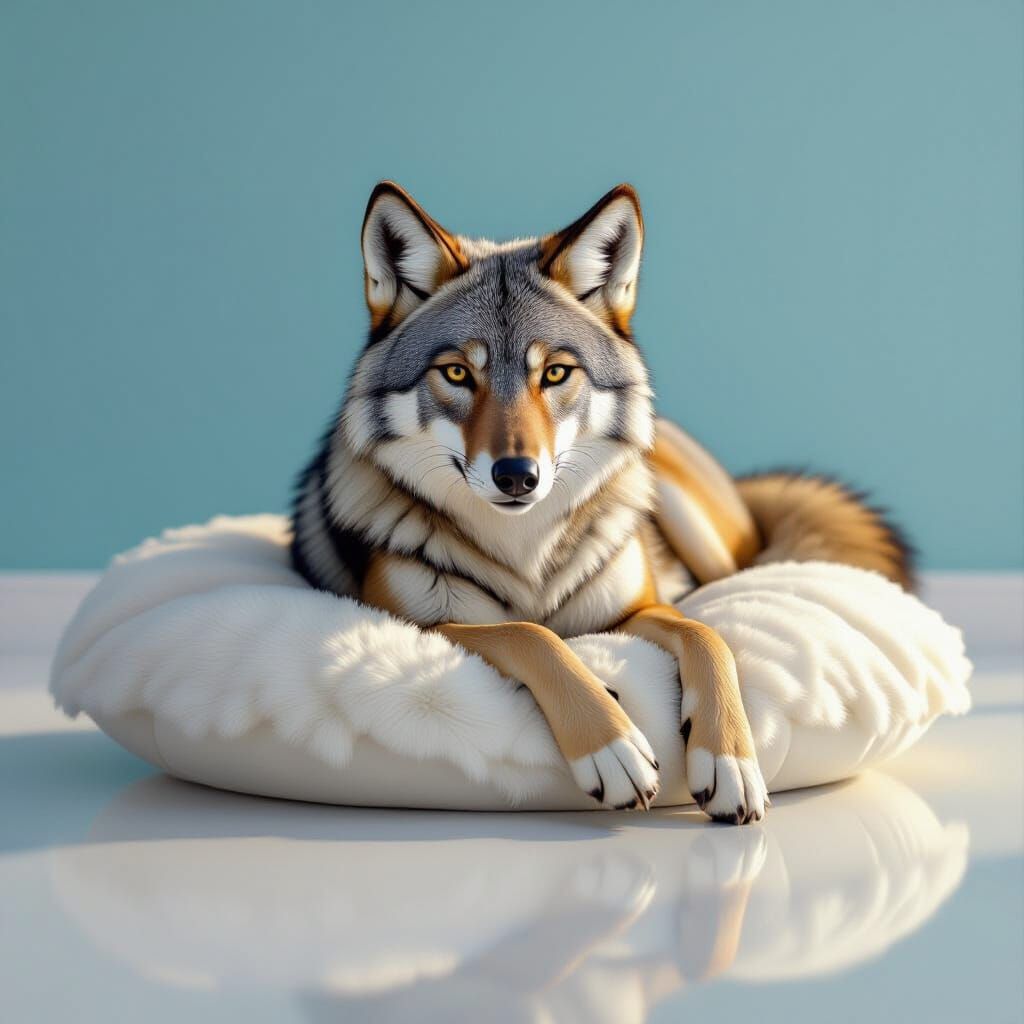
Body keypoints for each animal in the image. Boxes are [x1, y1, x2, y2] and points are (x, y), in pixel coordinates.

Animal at [291, 182, 913, 824]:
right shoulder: (423, 624)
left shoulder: (633, 610)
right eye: (458, 373)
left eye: (555, 373)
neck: (527, 555)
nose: (517, 476)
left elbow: (706, 635)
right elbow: (530, 635)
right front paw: (613, 747)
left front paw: (730, 762)